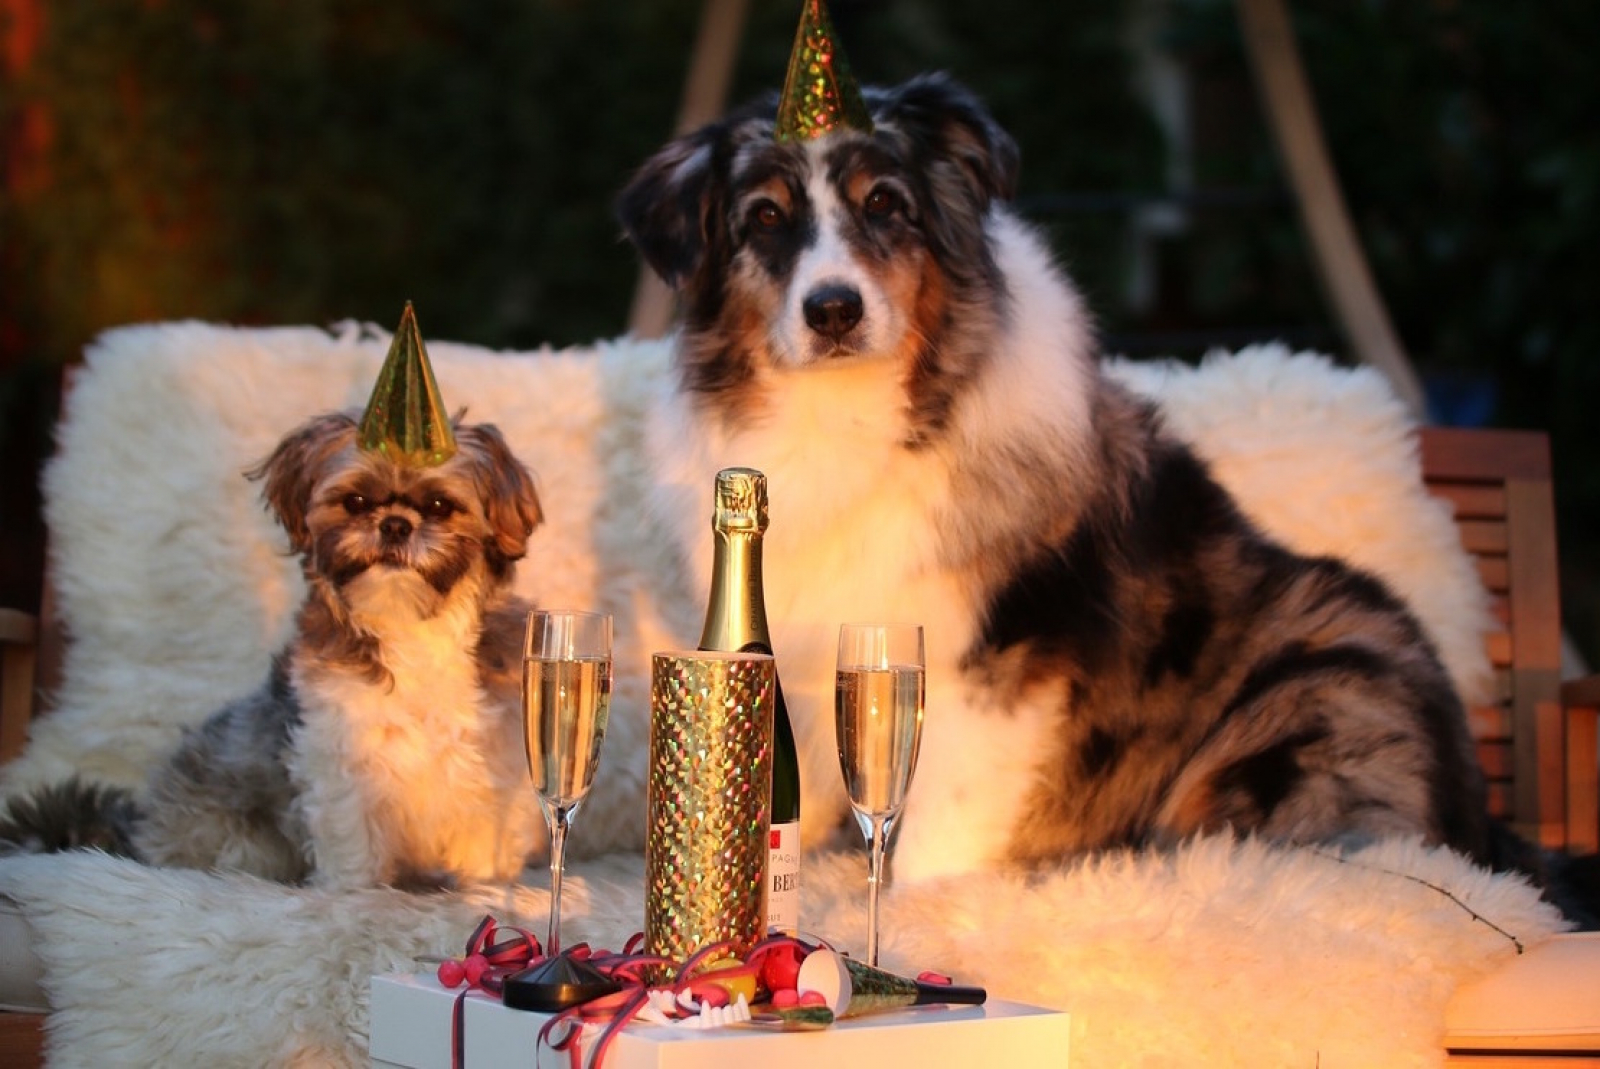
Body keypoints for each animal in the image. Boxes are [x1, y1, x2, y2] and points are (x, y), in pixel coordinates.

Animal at [0, 411, 547, 890]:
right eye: (355, 500)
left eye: (438, 506)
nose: (394, 524)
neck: (407, 622)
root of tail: (139, 827)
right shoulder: (339, 761)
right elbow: (353, 848)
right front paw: (358, 896)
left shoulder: (490, 769)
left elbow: (482, 847)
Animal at [617, 72, 1507, 889]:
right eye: (765, 217)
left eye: (885, 204)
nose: (833, 310)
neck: (851, 412)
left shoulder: (1003, 659)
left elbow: (938, 826)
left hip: (1315, 684)